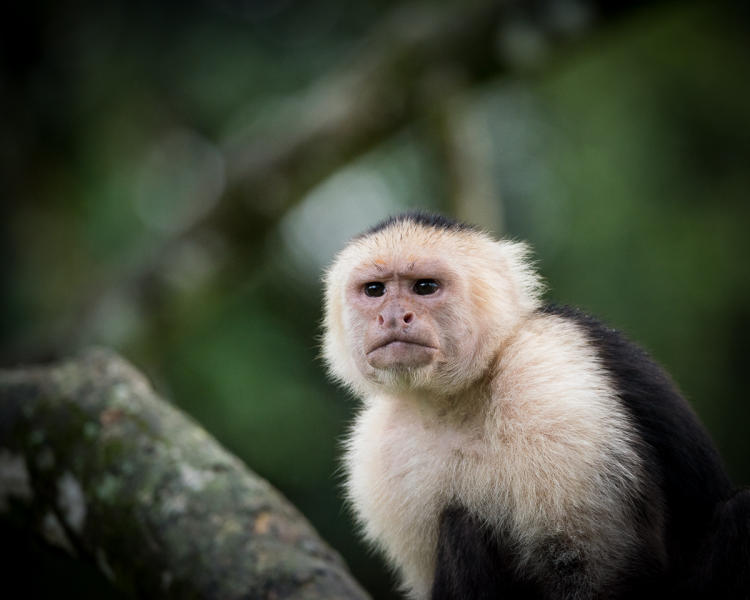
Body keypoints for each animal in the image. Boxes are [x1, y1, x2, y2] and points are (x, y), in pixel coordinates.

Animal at [322, 212, 750, 600]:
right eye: (375, 290)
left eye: (425, 287)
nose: (393, 316)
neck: (455, 399)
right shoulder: (379, 449)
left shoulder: (549, 380)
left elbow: (590, 570)